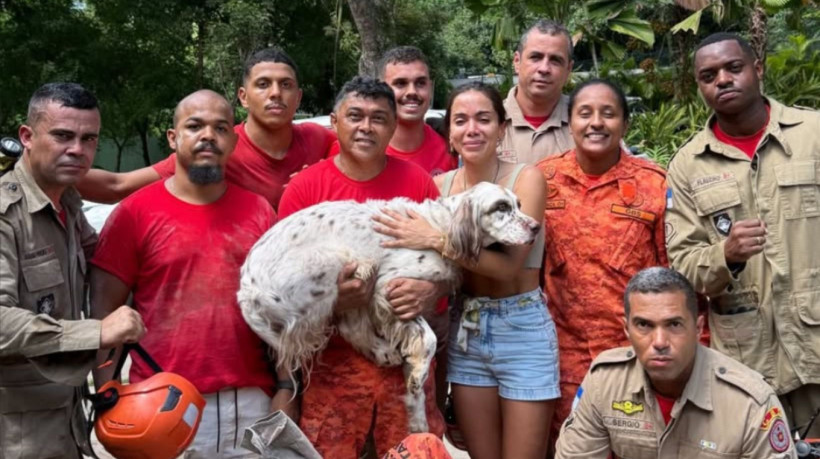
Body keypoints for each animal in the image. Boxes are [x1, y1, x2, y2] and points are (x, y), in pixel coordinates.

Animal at [237, 181, 540, 434]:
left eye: (519, 204)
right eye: (501, 207)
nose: (536, 226)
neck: (440, 226)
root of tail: (246, 290)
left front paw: (418, 422)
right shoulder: (388, 287)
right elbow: (428, 339)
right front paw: (418, 373)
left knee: (353, 327)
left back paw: (384, 354)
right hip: (336, 260)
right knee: (350, 323)